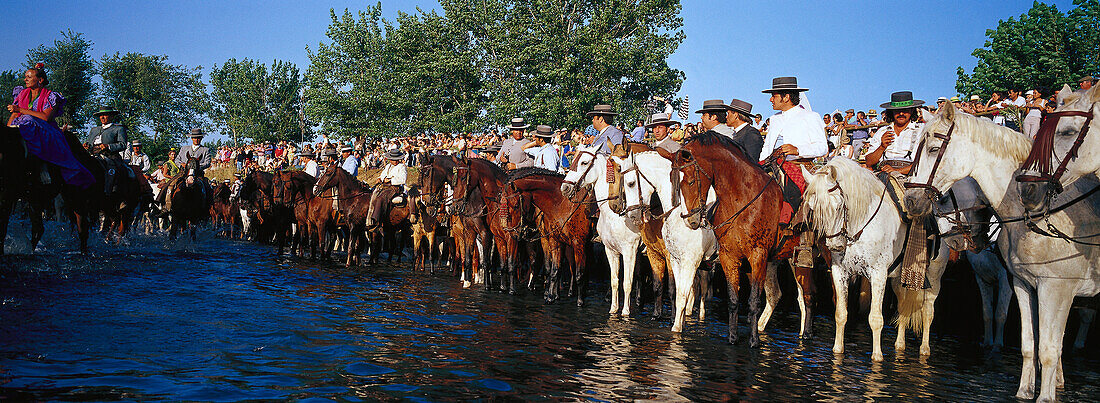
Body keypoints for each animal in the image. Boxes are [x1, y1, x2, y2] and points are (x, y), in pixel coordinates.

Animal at [499, 167, 589, 306]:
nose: (513, 233)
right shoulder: (550, 239)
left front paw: (578, 301)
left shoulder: (577, 242)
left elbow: (576, 271)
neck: (561, 202)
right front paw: (551, 295)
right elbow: (552, 268)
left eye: (515, 205)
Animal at [611, 149, 721, 332]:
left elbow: (680, 292)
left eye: (631, 183)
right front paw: (678, 321)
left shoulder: (689, 261)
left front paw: (676, 327)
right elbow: (676, 290)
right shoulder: (674, 259)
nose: (632, 216)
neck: (678, 214)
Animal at [902, 100, 1100, 400]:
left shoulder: (1050, 287)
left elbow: (1036, 338)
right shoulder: (1018, 283)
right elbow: (1029, 339)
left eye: (934, 149)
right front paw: (1029, 388)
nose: (910, 200)